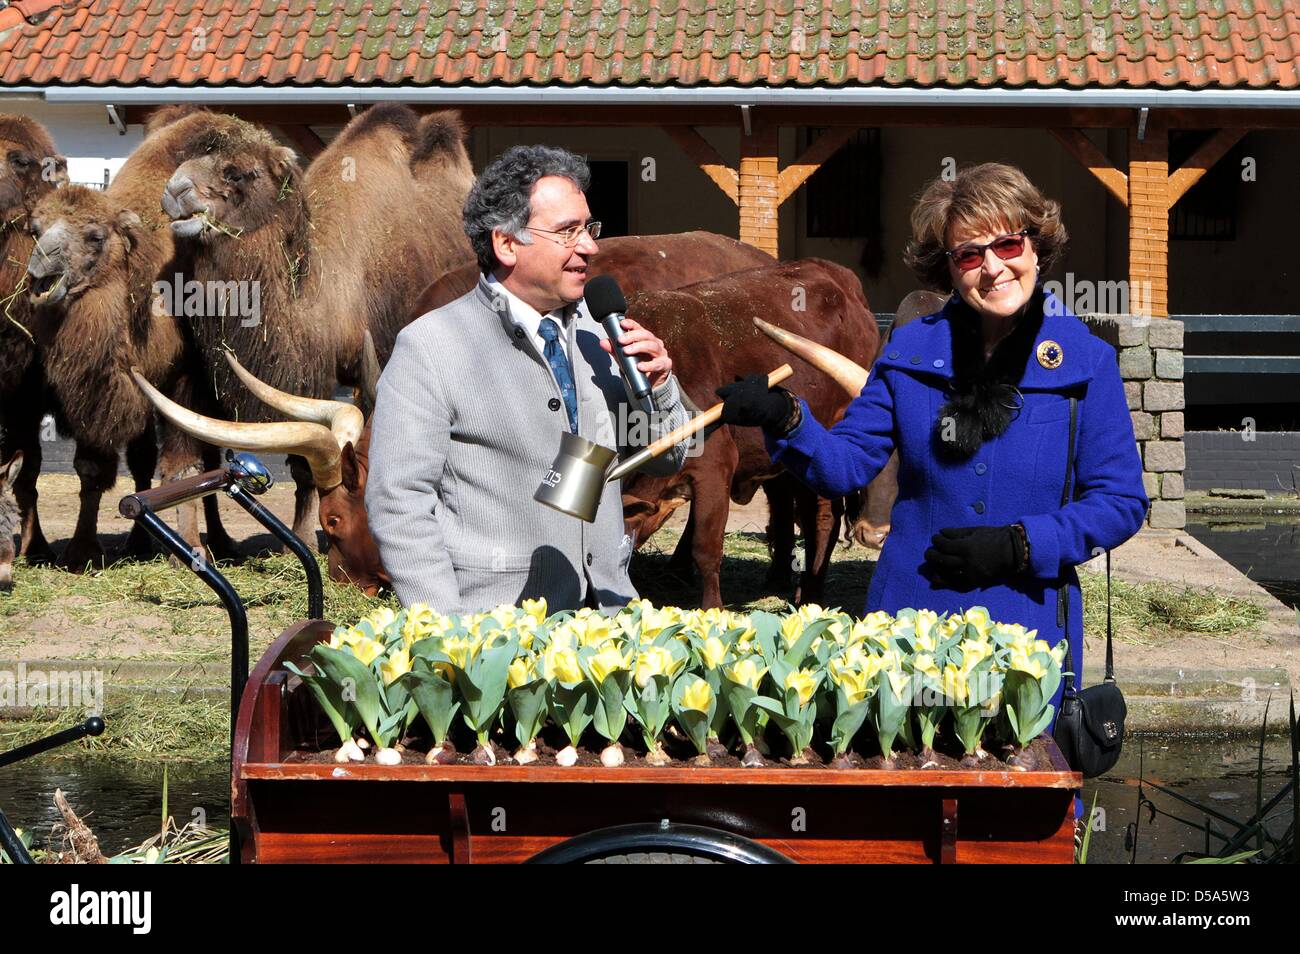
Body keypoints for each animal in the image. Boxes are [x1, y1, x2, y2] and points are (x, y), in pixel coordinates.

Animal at [22, 107, 250, 566]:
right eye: (36, 229)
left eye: (95, 236)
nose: (40, 267)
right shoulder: (103, 388)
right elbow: (93, 468)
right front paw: (82, 550)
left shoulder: (184, 378)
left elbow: (186, 467)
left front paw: (192, 547)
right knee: (146, 462)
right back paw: (141, 542)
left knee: (211, 456)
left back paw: (219, 541)